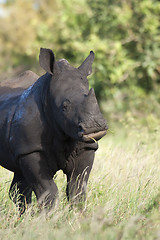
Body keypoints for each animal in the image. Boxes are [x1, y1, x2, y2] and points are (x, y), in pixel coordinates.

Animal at [0, 47, 107, 215]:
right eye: (64, 107)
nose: (94, 127)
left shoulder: (87, 146)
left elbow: (77, 188)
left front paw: (78, 217)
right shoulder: (31, 150)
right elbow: (47, 190)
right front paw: (48, 218)